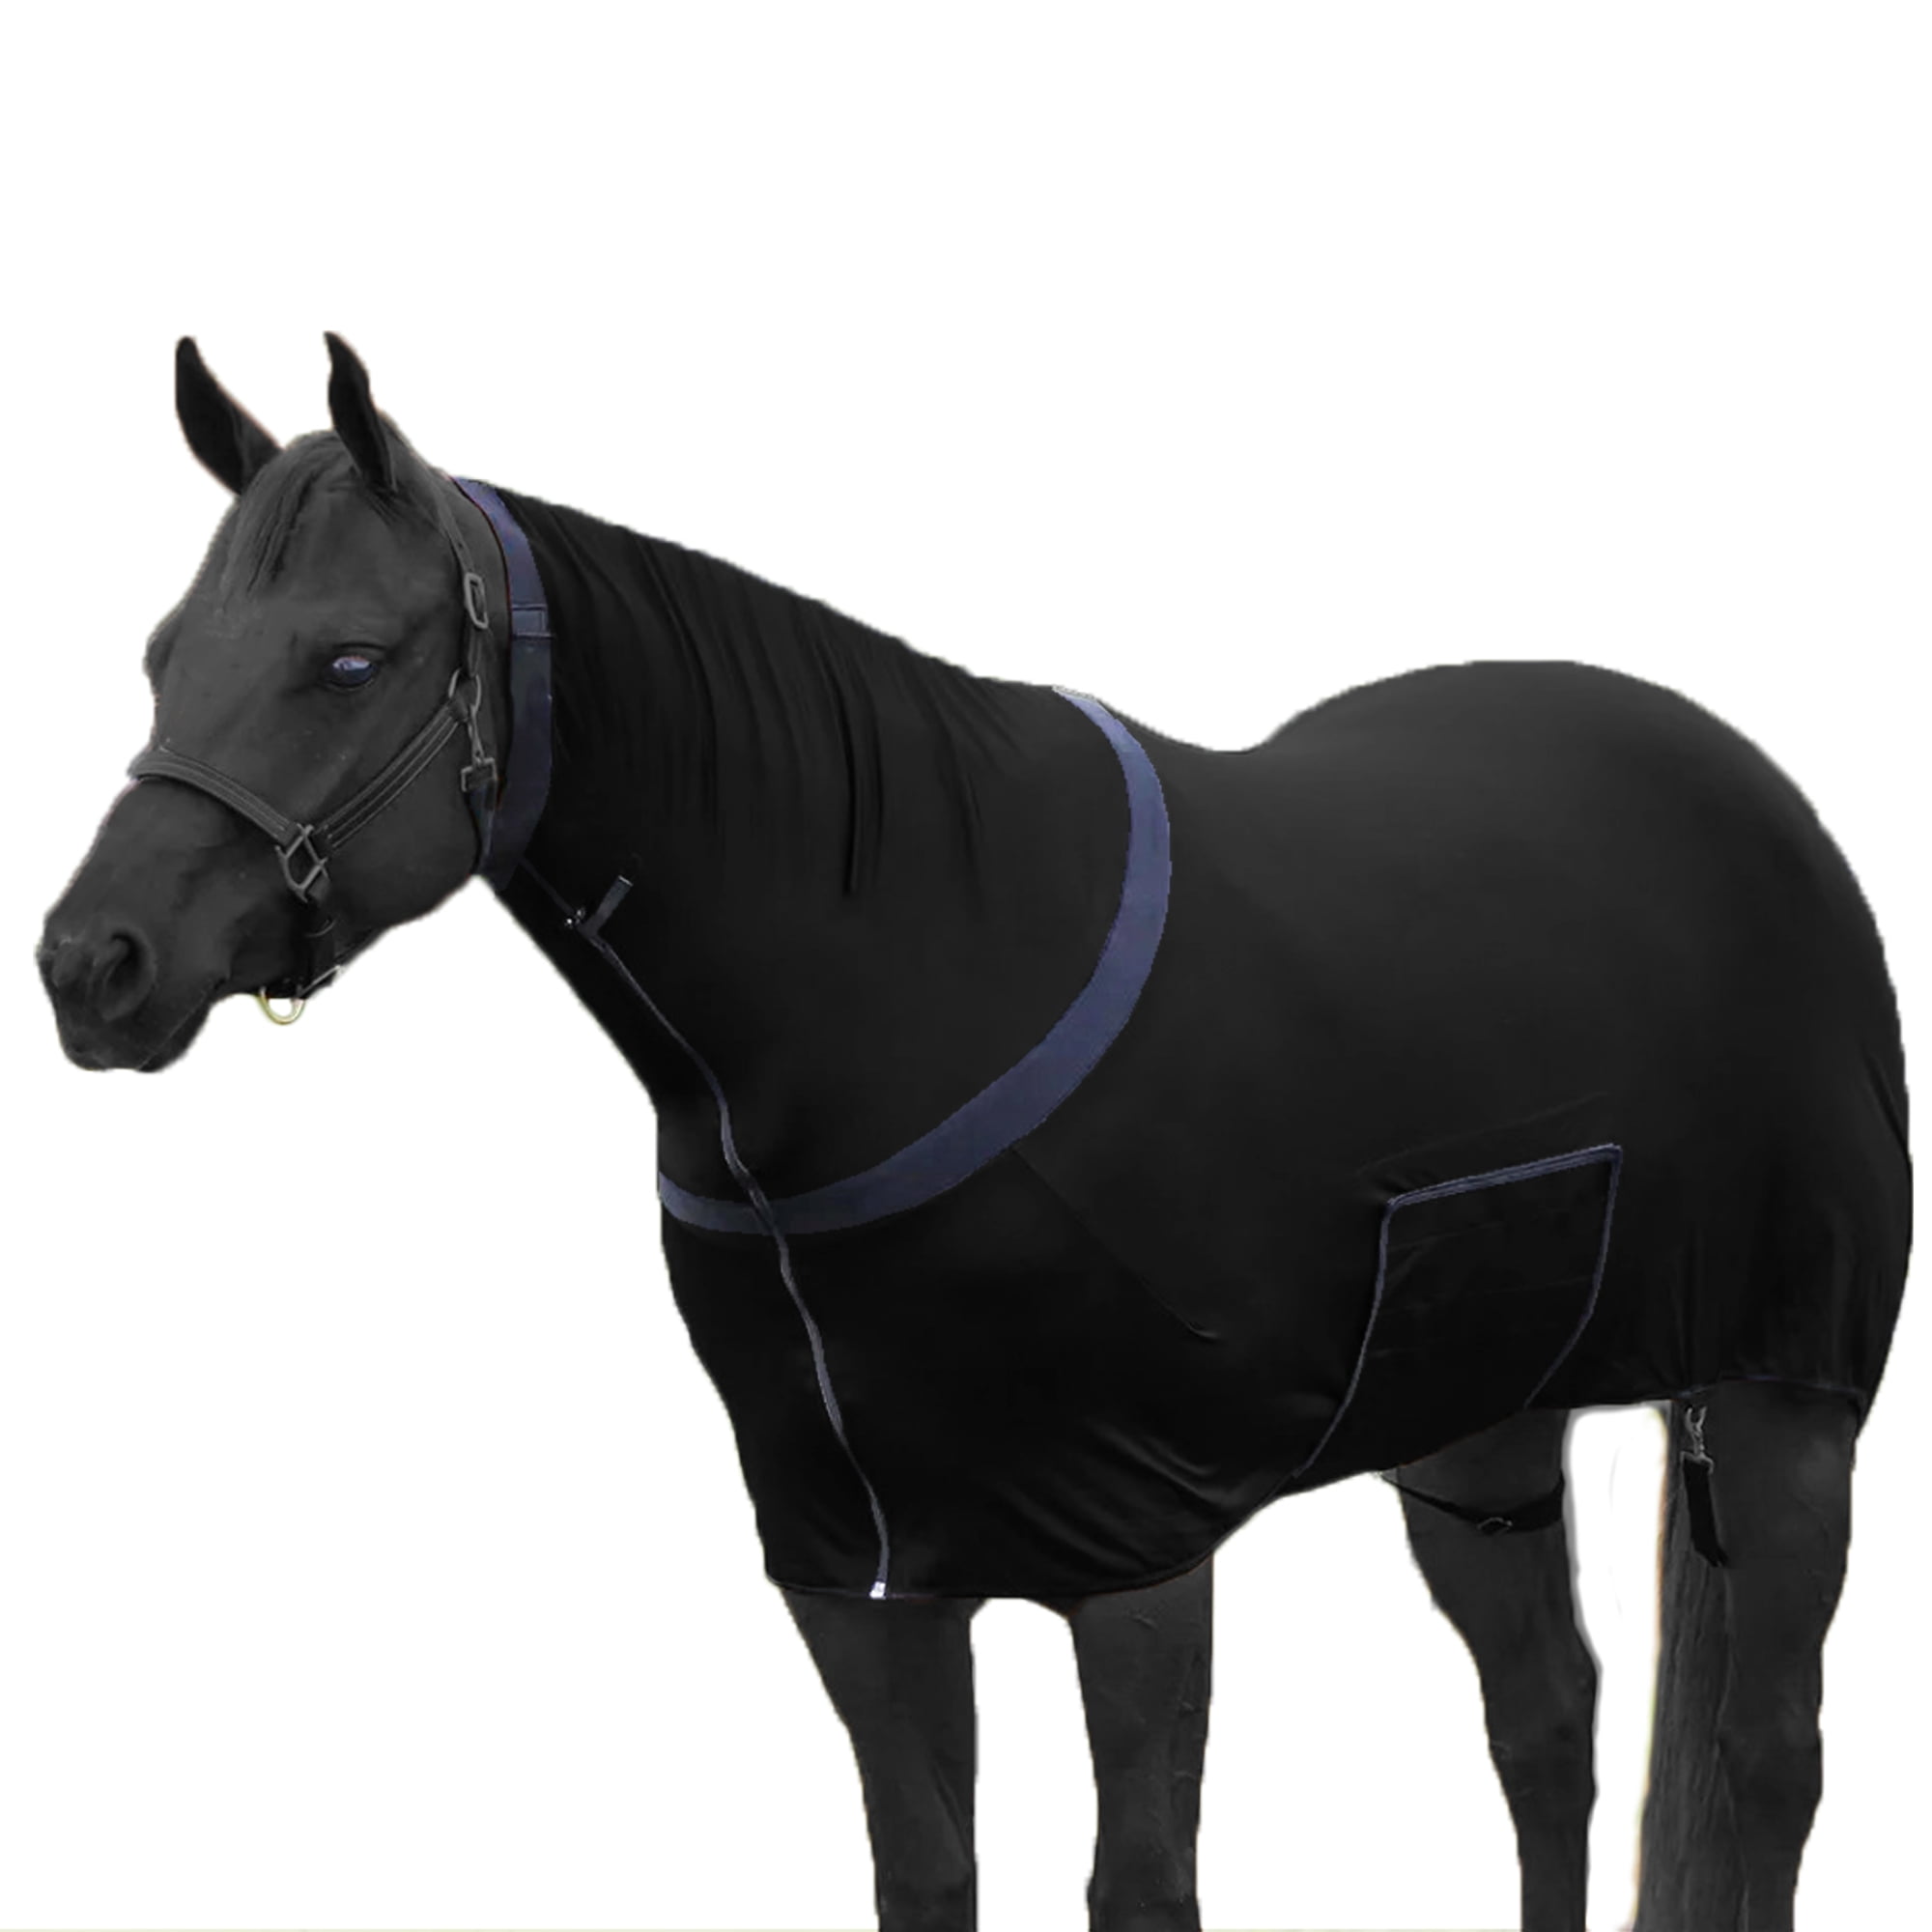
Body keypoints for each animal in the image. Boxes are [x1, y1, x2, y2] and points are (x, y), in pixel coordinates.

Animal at [39, 336, 1910, 1932]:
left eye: (348, 660)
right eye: (162, 656)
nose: (89, 967)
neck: (915, 985)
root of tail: (1751, 791)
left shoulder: (1134, 1552)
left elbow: (1138, 1885)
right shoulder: (861, 1575)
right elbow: (926, 1873)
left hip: (1784, 1403)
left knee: (1765, 1763)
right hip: (1482, 1425)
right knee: (1548, 1722)